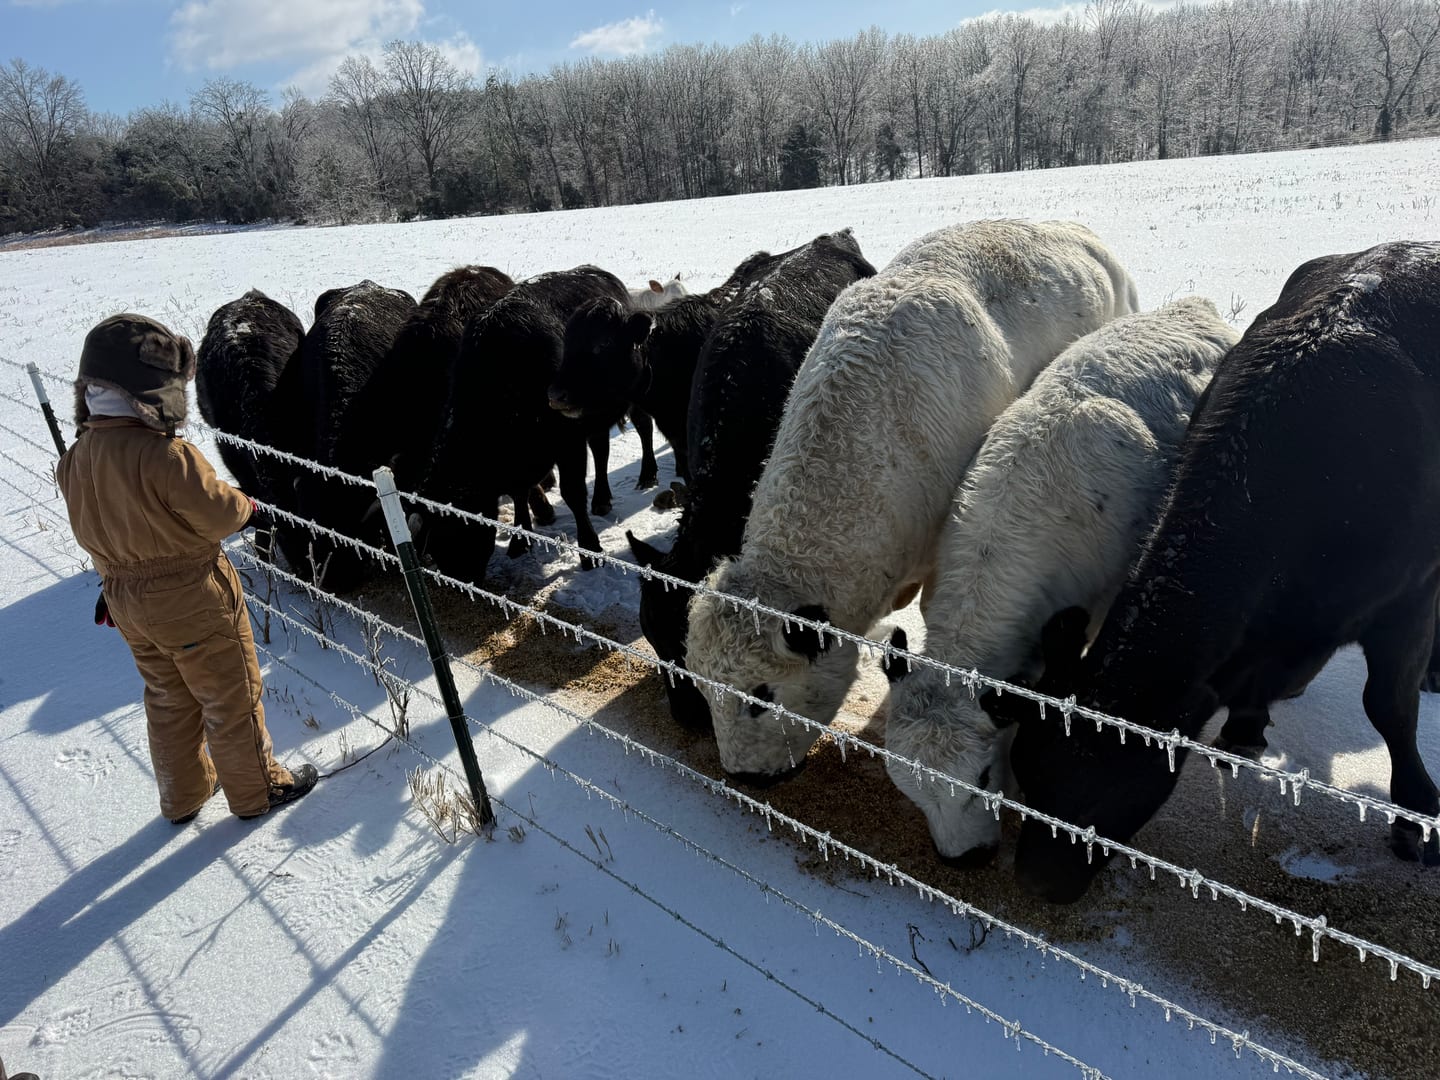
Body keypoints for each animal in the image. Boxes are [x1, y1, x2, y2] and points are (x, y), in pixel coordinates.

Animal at [415, 265, 629, 585]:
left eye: (461, 531)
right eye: (434, 543)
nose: (465, 581)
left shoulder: (569, 443)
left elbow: (573, 493)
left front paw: (590, 550)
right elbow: (519, 492)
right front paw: (520, 538)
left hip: (598, 419)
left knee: (601, 452)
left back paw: (601, 500)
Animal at [981, 241, 1440, 904]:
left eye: (1114, 789)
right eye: (1029, 770)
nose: (1039, 884)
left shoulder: (1406, 597)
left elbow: (1389, 708)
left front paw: (1417, 818)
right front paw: (1243, 731)